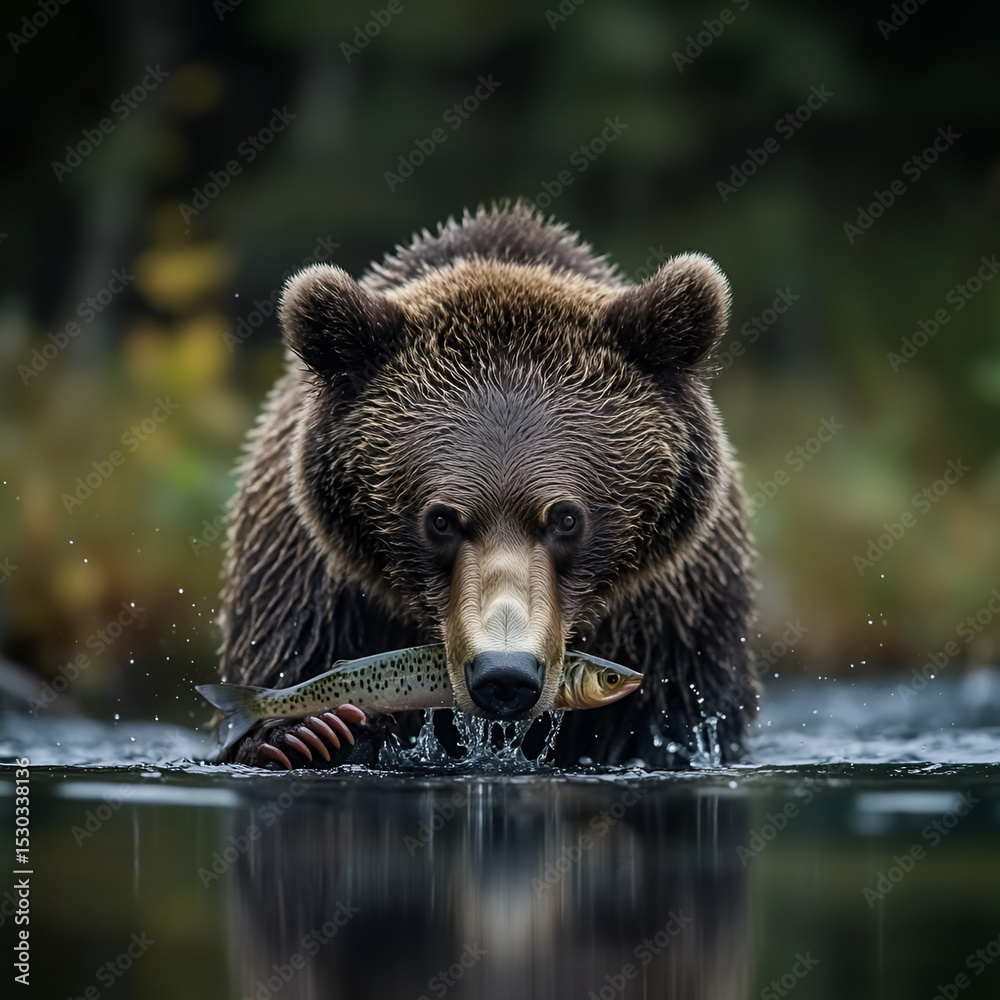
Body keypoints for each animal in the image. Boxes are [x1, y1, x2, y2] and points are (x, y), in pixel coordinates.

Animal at [215, 202, 757, 769]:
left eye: (567, 517)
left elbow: (669, 722)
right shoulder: (313, 584)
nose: (505, 673)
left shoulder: (674, 615)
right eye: (440, 520)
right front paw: (307, 733)